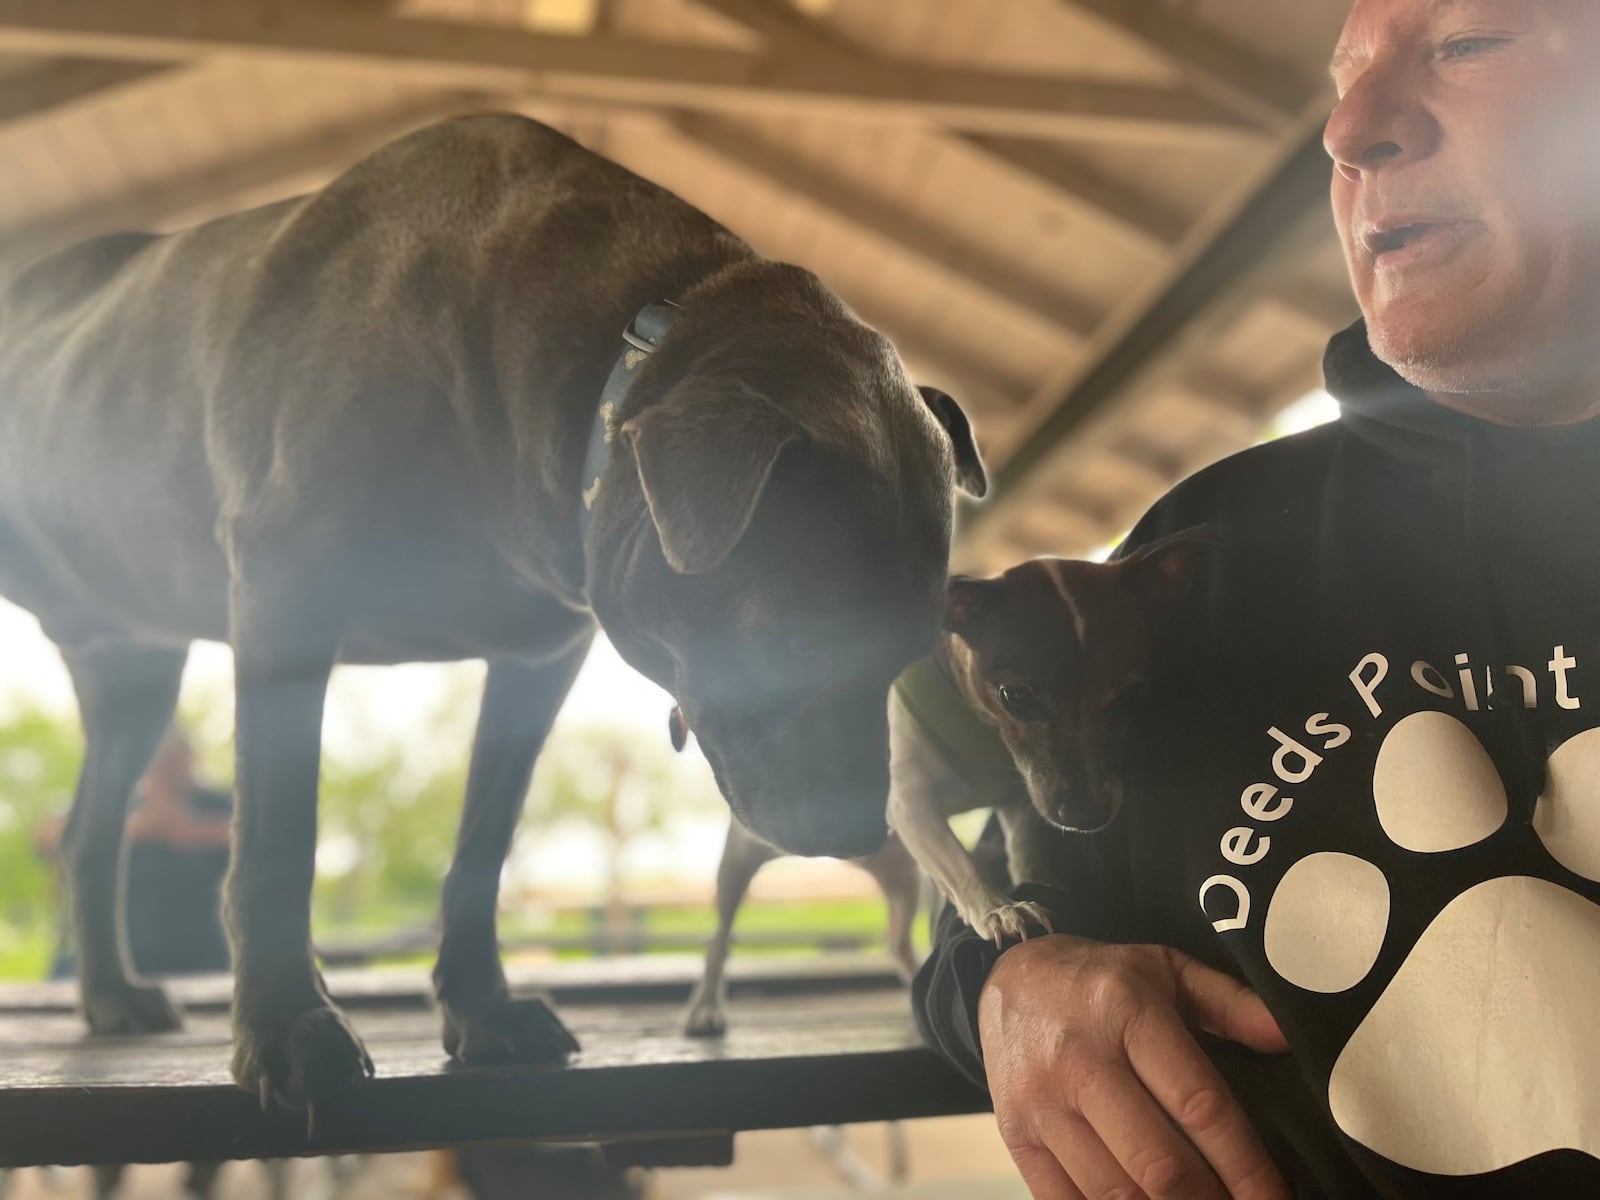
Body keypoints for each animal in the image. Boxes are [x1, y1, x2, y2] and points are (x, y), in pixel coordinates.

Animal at [0, 115, 985, 1120]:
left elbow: (483, 848)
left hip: (133, 671)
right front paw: (286, 1029)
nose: (864, 839)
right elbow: (277, 843)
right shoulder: (284, 598)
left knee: (89, 833)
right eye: (798, 643)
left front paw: (482, 1010)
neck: (619, 355)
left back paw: (110, 996)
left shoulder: (538, 659)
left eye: (907, 654)